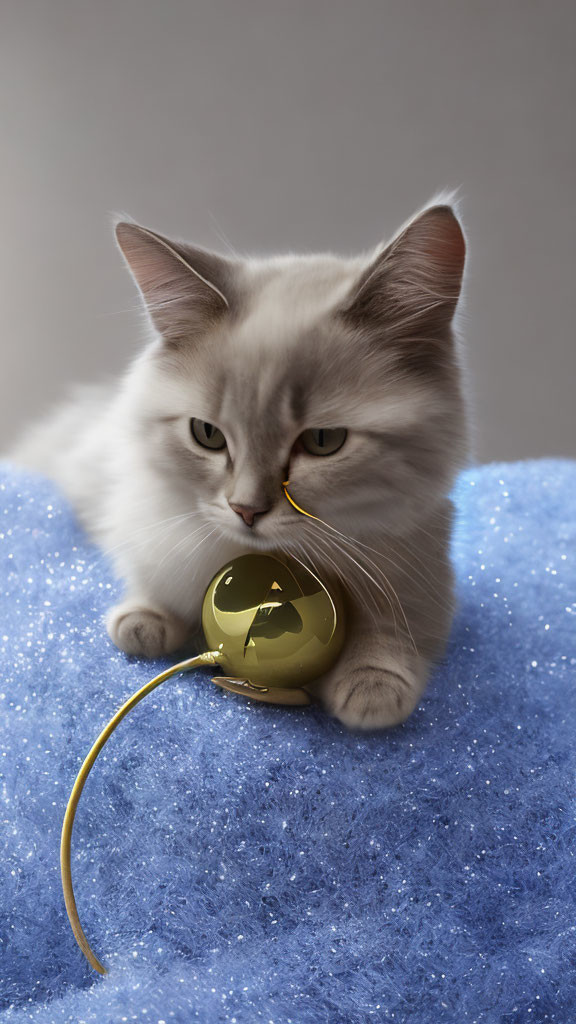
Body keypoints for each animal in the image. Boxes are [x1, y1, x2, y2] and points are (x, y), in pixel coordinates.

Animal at [10, 199, 467, 729]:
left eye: (323, 441)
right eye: (207, 435)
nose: (246, 511)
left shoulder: (417, 569)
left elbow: (394, 633)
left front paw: (371, 685)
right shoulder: (145, 519)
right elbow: (155, 581)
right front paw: (145, 622)